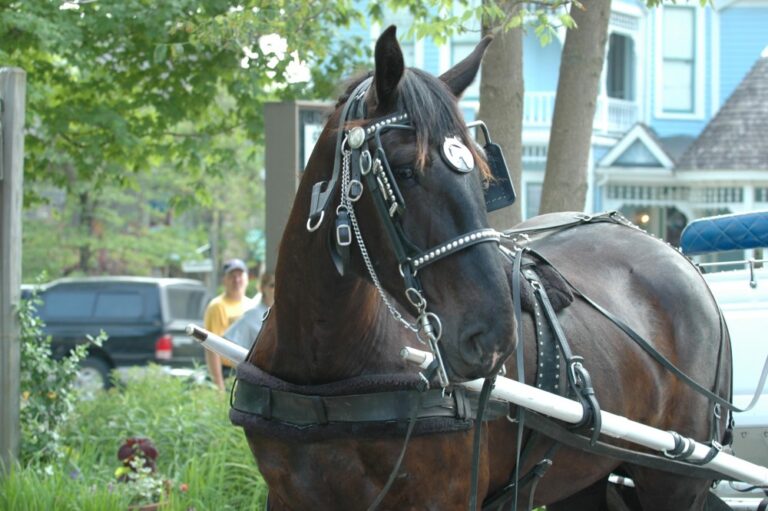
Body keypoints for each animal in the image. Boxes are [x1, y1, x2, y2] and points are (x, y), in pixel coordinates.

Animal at [232, 26, 732, 510]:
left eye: (481, 175)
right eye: (404, 170)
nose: (493, 336)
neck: (324, 366)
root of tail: (682, 260)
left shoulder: (447, 496)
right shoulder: (288, 495)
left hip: (676, 481)